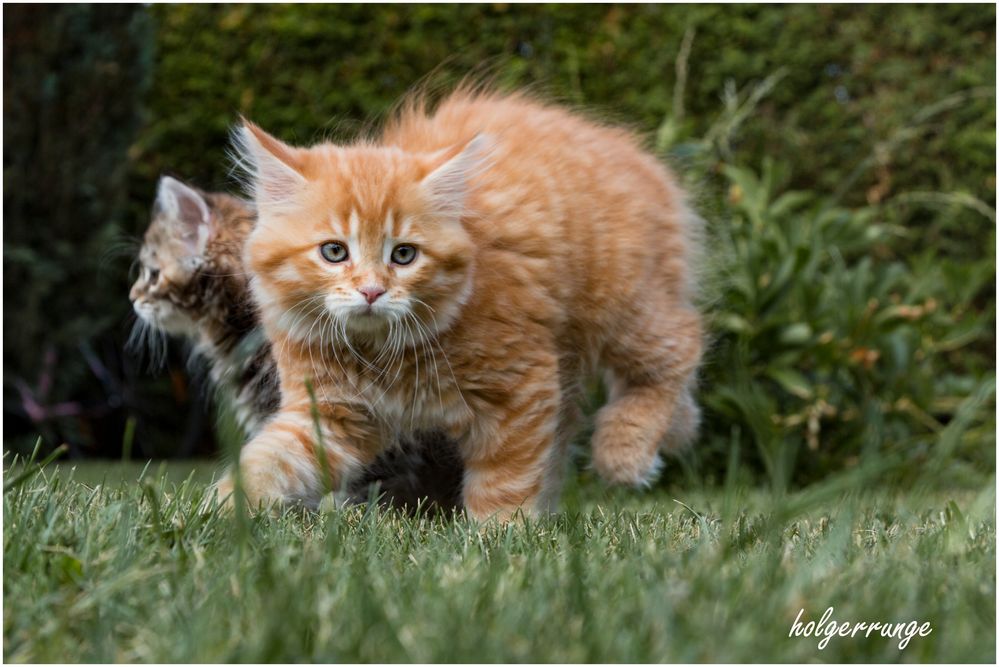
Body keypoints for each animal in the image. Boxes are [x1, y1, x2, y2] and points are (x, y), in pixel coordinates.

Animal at [226, 88, 704, 520]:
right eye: (334, 252)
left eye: (404, 255)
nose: (372, 291)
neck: (380, 353)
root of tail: (636, 156)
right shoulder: (329, 416)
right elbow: (269, 461)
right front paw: (223, 513)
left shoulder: (522, 389)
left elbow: (505, 481)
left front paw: (500, 537)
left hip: (622, 306)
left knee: (683, 343)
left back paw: (625, 453)